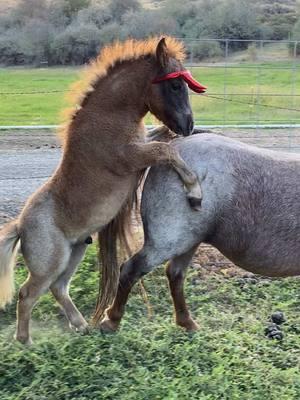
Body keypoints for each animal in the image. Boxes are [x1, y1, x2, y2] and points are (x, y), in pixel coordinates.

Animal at [0, 36, 205, 344]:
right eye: (175, 86)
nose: (188, 125)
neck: (109, 116)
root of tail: (20, 226)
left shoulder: (142, 143)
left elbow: (161, 139)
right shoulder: (132, 157)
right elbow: (165, 149)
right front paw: (194, 191)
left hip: (73, 254)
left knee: (59, 288)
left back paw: (82, 326)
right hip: (50, 263)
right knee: (27, 294)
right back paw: (26, 342)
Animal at [99, 133, 300, 332]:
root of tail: (175, 145)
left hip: (189, 241)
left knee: (175, 274)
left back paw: (187, 323)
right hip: (168, 243)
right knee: (131, 271)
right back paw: (112, 320)